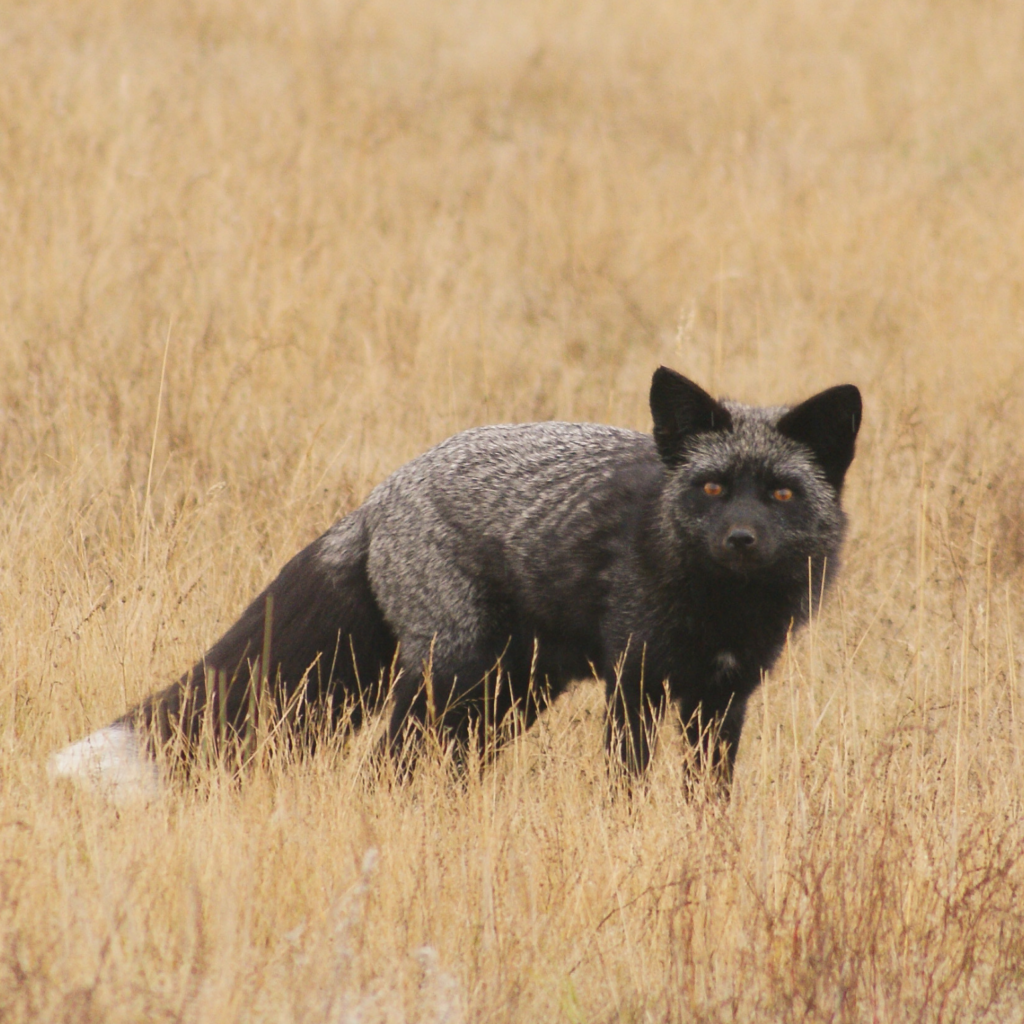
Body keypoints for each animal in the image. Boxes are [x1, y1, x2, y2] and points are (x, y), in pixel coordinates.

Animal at [49, 370, 864, 798]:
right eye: (714, 488)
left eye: (782, 494)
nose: (741, 541)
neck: (721, 611)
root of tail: (380, 496)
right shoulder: (635, 684)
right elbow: (626, 785)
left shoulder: (723, 698)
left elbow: (707, 797)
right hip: (451, 676)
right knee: (385, 766)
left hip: (507, 697)